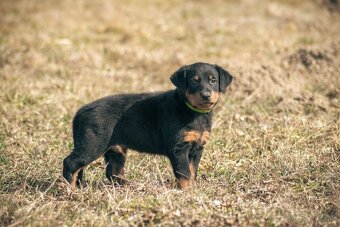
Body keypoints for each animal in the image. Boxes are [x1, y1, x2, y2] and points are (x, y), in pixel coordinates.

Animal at [62, 61, 232, 189]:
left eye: (213, 80)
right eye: (194, 81)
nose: (206, 95)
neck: (193, 112)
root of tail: (79, 112)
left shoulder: (197, 148)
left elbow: (192, 171)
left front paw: (193, 189)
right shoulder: (178, 148)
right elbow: (184, 172)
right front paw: (187, 191)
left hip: (116, 149)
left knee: (113, 172)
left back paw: (128, 186)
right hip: (93, 144)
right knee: (71, 163)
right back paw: (69, 190)